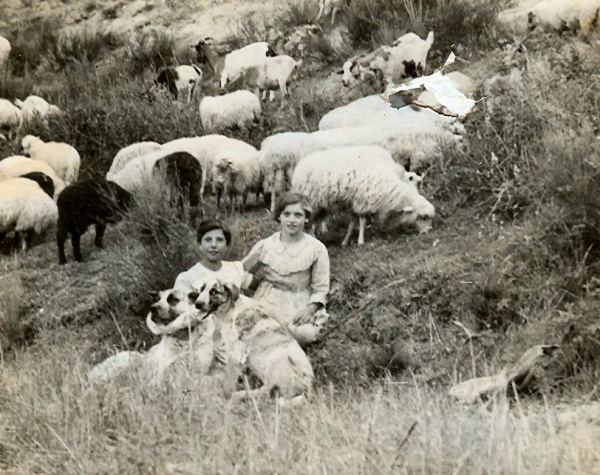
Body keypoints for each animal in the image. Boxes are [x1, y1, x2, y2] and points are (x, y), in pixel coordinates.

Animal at [292, 146, 436, 247]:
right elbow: (362, 220)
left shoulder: (355, 202)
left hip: (322, 206)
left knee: (312, 223)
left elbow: (353, 222)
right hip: (311, 202)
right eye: (422, 217)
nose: (427, 232)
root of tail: (298, 168)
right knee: (308, 224)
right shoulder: (363, 199)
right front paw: (361, 241)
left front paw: (346, 241)